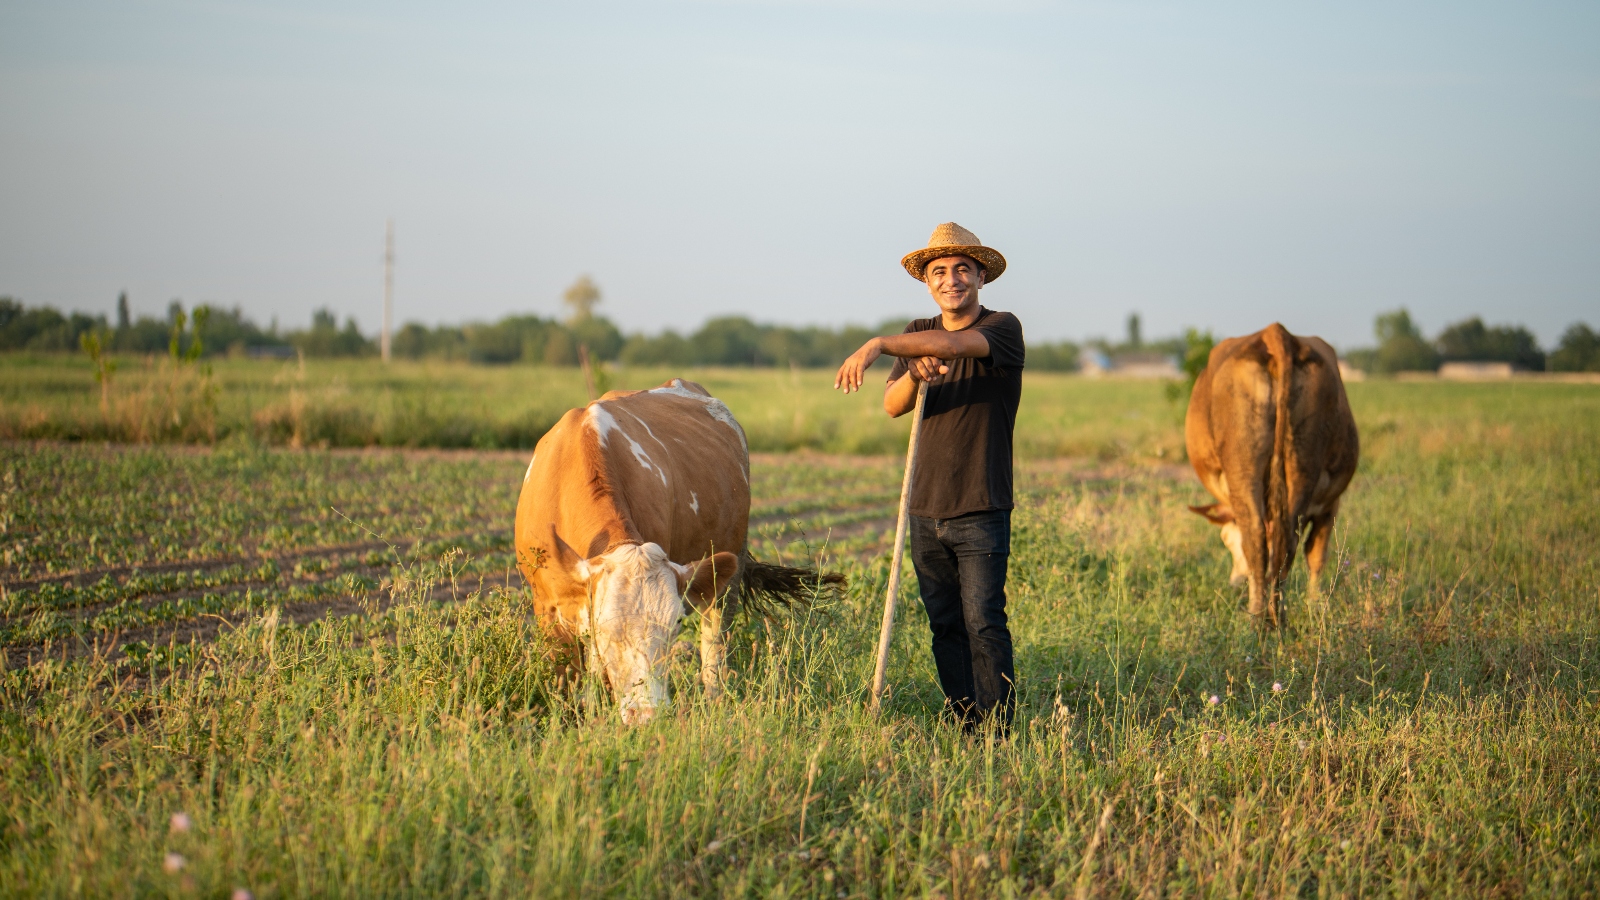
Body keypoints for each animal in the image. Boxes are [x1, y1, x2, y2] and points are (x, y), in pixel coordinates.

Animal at [515, 376, 838, 720]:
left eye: (675, 627)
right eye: (606, 629)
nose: (647, 715)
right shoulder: (546, 607)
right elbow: (566, 679)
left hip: (727, 572)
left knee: (715, 644)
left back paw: (715, 698)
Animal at [1184, 320, 1356, 624]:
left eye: (1225, 539)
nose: (1233, 582)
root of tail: (1275, 333)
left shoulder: (1330, 503)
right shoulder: (1329, 504)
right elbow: (1316, 554)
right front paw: (1315, 606)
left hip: (1246, 468)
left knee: (1258, 539)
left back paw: (1257, 614)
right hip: (1301, 463)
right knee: (1285, 541)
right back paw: (1276, 615)